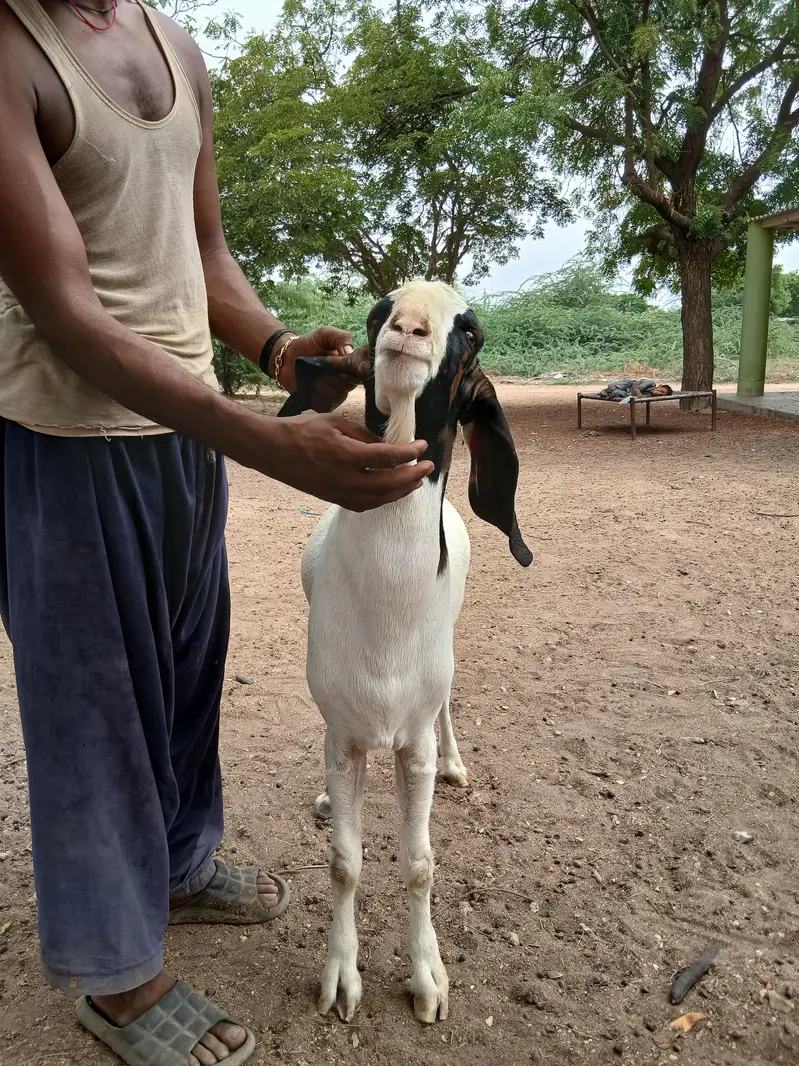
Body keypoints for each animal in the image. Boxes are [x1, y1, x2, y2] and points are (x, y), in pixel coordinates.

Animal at [278, 280, 532, 1025]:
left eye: (470, 330)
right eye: (378, 307)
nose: (409, 328)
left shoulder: (410, 740)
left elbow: (418, 864)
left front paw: (426, 979)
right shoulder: (344, 737)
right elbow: (344, 861)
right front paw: (340, 977)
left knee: (447, 702)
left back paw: (457, 764)